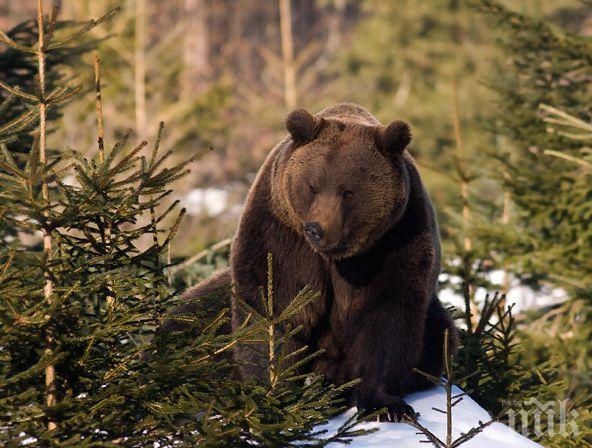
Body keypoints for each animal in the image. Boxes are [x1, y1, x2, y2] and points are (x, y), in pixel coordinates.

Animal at [166, 103, 458, 422]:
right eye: (312, 186)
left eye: (348, 191)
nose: (317, 228)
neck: (336, 257)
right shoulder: (281, 236)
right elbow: (275, 309)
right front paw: (273, 392)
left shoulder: (394, 241)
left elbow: (386, 315)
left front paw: (387, 404)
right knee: (191, 322)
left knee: (440, 336)